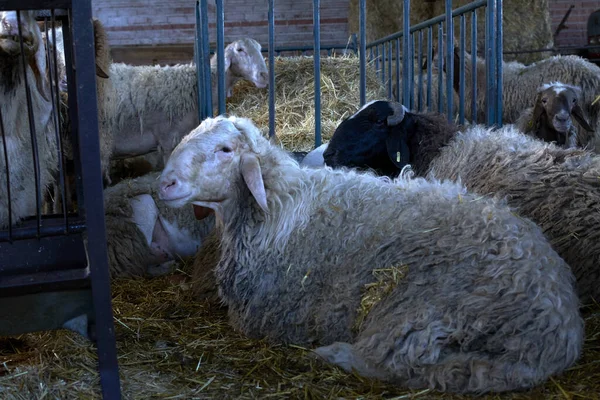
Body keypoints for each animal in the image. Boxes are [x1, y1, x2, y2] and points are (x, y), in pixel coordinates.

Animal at [157, 113, 584, 394]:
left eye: (225, 149)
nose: (165, 184)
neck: (277, 206)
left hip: (419, 307)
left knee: (392, 361)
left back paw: (333, 354)